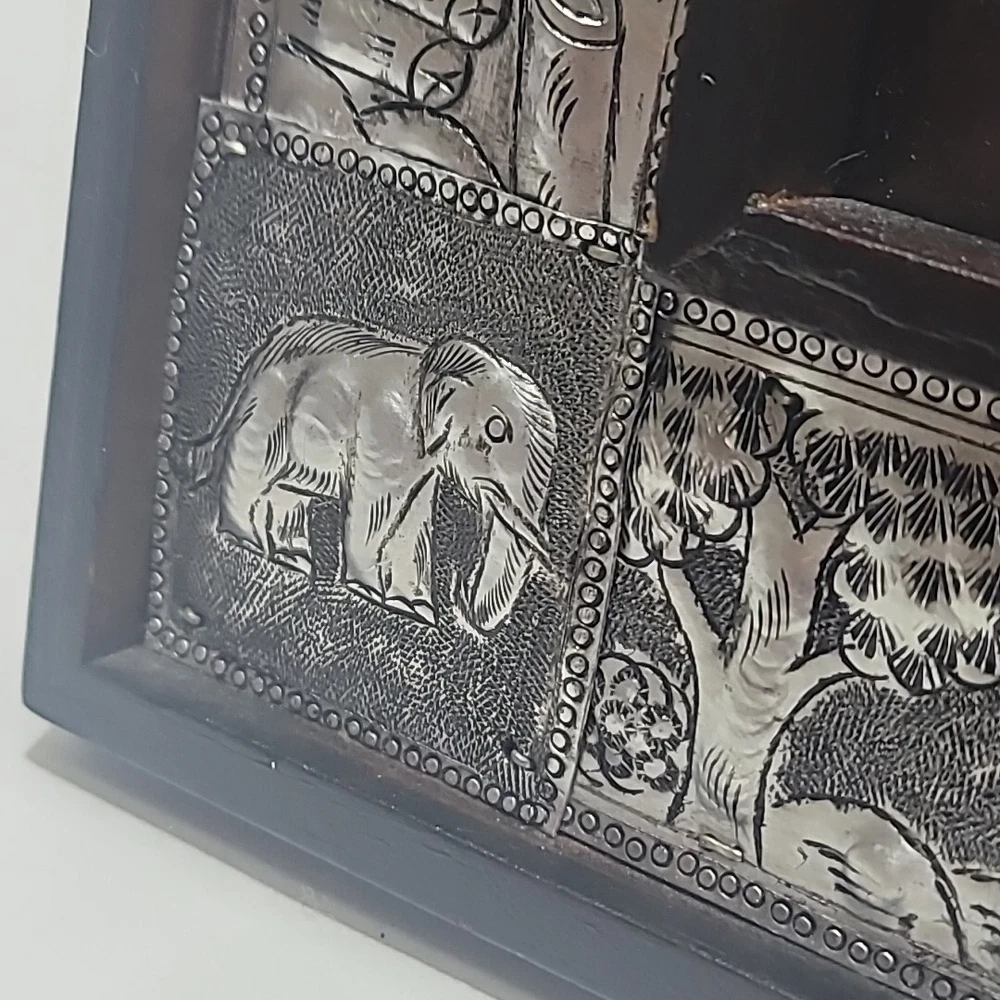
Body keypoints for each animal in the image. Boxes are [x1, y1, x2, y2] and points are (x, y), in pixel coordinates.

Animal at [183, 317, 558, 633]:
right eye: (497, 430)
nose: (460, 585)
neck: (427, 366)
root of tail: (257, 360)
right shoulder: (385, 431)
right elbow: (375, 510)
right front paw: (369, 592)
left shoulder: (423, 463)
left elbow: (414, 523)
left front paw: (412, 609)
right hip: (267, 411)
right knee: (252, 471)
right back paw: (245, 541)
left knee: (289, 491)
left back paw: (293, 559)